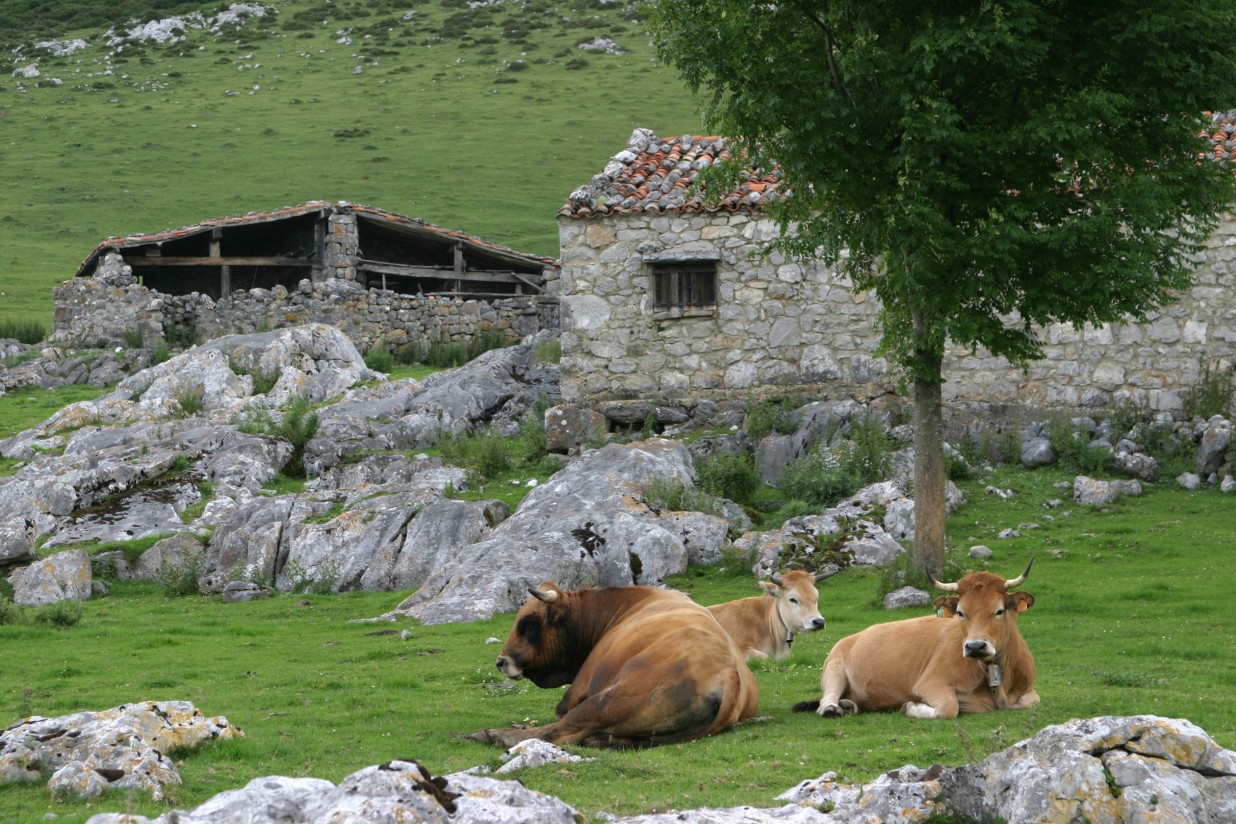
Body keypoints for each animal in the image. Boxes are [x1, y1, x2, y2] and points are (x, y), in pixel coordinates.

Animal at [472, 583, 761, 751]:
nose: (501, 661)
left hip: (607, 701)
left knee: (557, 731)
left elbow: (560, 715)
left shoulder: (578, 689)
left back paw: (493, 734)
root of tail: (729, 673)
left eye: (528, 623)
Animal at [795, 560, 1038, 721]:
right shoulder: (931, 682)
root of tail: (851, 638)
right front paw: (910, 707)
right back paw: (833, 708)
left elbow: (1031, 701)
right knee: (826, 700)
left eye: (999, 611)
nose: (975, 646)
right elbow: (949, 708)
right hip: (833, 670)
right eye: (960, 612)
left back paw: (847, 705)